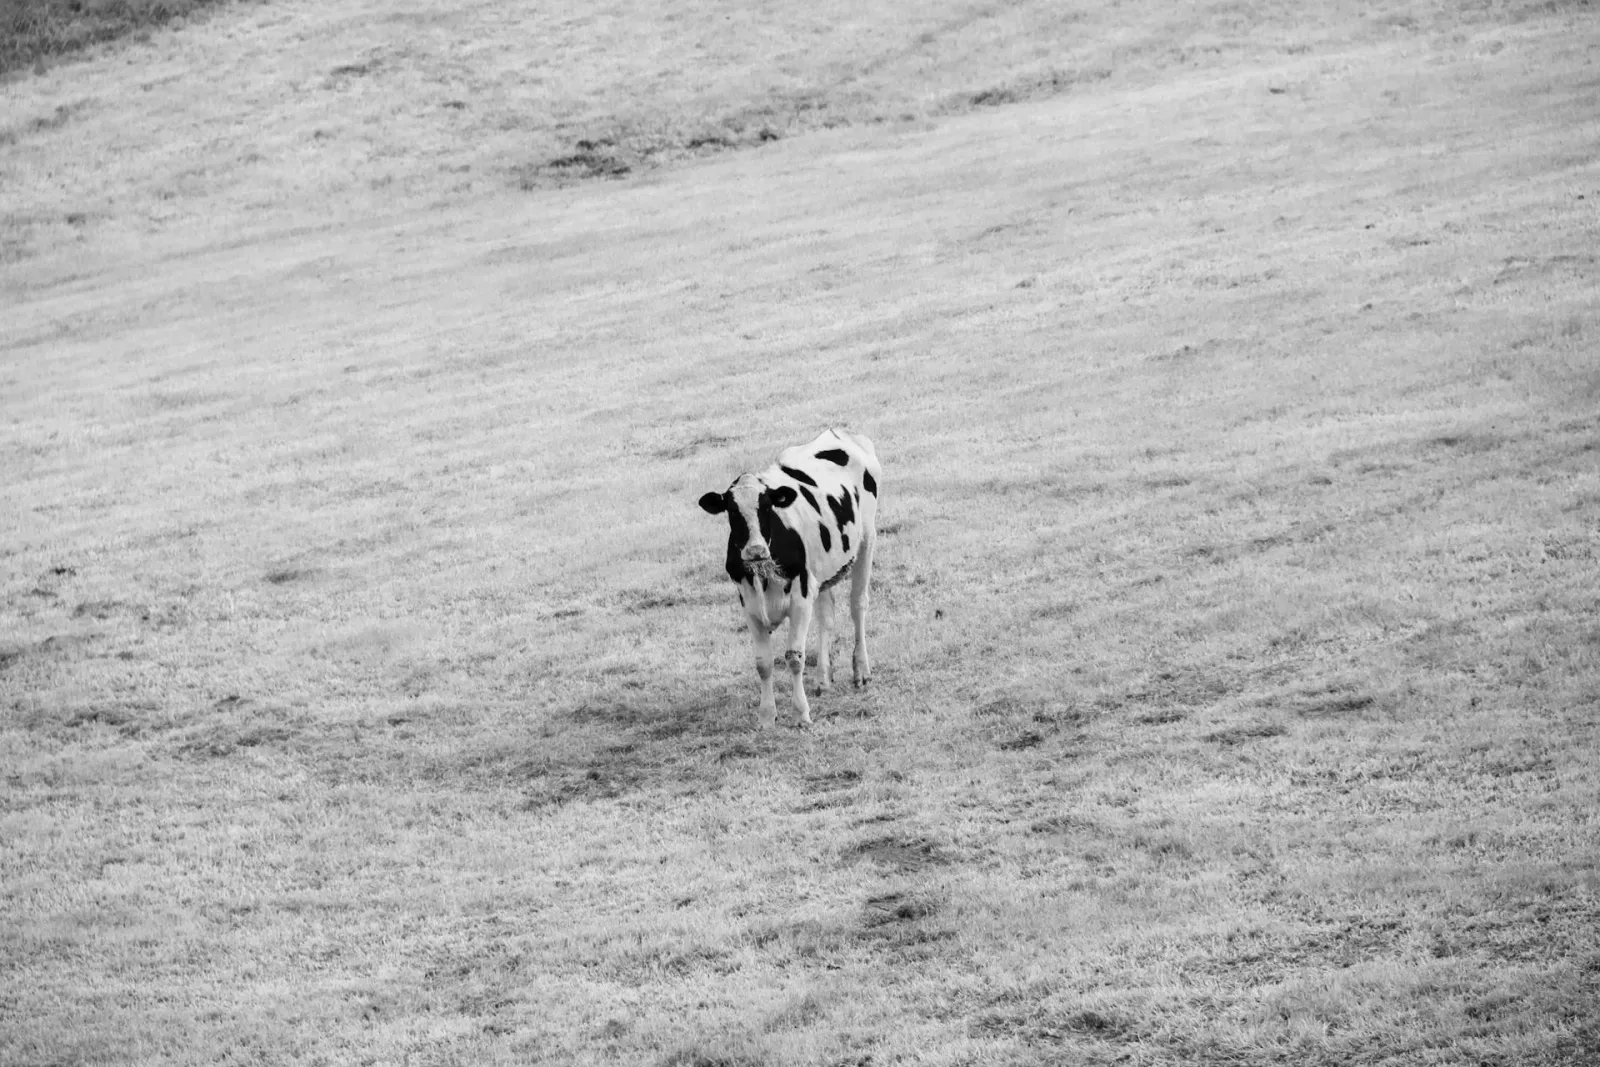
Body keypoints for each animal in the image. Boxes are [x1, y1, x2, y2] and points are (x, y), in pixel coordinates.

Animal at [698, 428, 882, 728]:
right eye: (732, 511)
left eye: (767, 507)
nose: (756, 550)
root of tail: (839, 432)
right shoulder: (749, 603)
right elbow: (763, 663)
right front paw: (766, 716)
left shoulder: (800, 597)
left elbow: (794, 657)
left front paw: (800, 714)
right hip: (822, 572)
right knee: (827, 617)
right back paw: (822, 680)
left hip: (867, 541)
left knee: (858, 605)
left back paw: (861, 672)